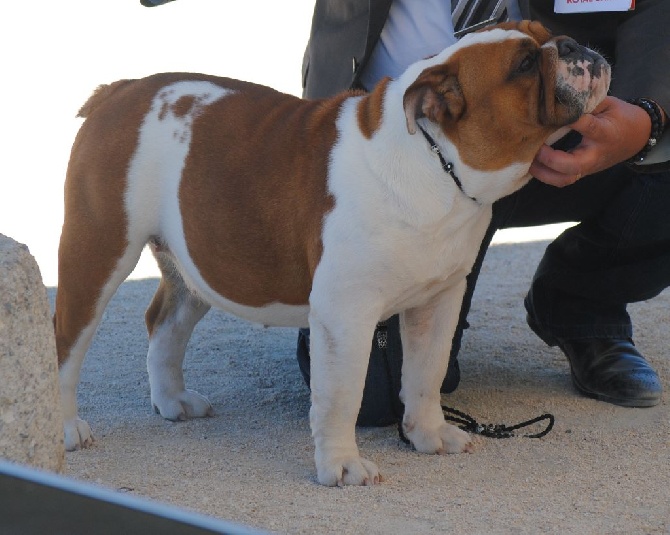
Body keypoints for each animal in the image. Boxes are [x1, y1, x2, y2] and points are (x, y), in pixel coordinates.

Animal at [55, 23, 612, 488]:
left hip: (197, 259)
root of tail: (120, 90)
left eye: (546, 33)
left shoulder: (439, 301)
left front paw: (429, 435)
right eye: (524, 65)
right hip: (97, 248)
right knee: (67, 342)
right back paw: (65, 428)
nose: (571, 44)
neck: (438, 162)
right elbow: (343, 395)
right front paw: (343, 467)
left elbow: (426, 374)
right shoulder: (347, 315)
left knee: (164, 323)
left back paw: (173, 402)